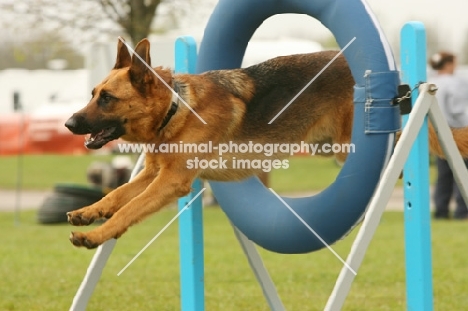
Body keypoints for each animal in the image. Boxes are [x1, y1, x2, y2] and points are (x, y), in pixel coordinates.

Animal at [65, 39, 468, 250]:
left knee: (401, 139)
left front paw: (95, 234)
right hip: (328, 145)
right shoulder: (154, 175)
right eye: (93, 93)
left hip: (345, 144)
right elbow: (118, 195)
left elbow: (129, 210)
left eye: (107, 99)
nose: (69, 124)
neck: (176, 108)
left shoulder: (171, 181)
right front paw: (89, 212)